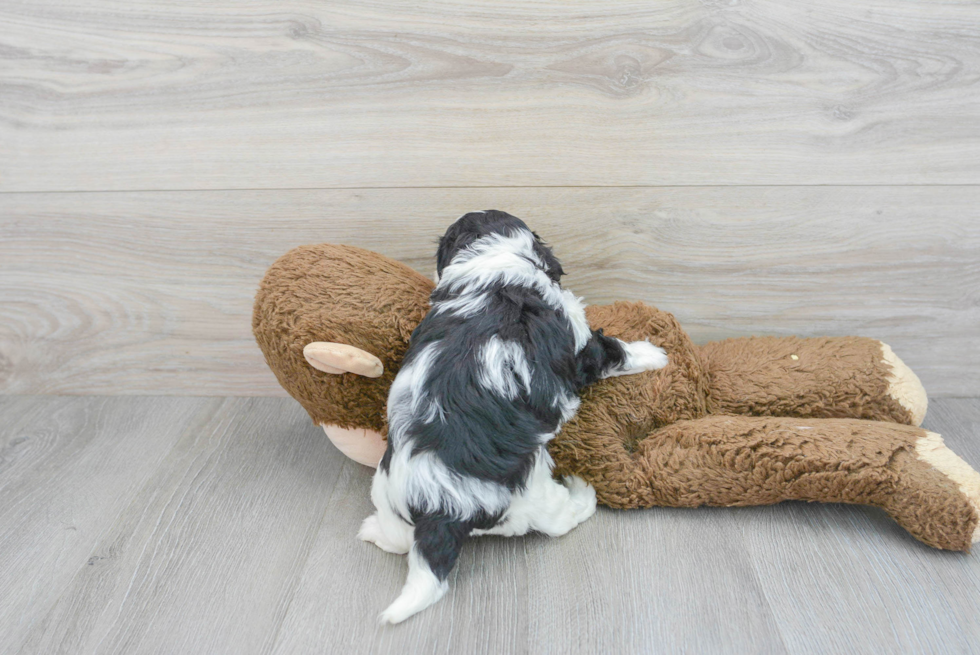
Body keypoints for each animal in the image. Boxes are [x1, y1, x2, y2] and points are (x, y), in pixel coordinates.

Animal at [360, 211, 668, 624]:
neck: (494, 261)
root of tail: (438, 507)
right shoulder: (579, 340)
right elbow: (614, 350)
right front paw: (654, 354)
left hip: (386, 488)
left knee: (397, 540)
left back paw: (371, 530)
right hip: (532, 492)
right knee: (558, 522)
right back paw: (583, 495)